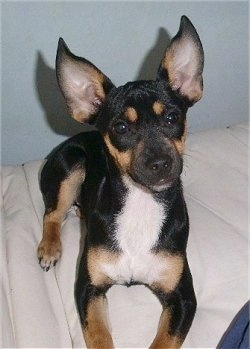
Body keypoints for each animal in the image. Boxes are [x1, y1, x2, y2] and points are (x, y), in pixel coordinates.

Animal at [38, 14, 204, 346]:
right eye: (121, 127)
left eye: (172, 118)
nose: (160, 164)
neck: (141, 203)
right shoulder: (88, 288)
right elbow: (99, 336)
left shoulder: (183, 297)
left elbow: (164, 342)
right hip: (71, 165)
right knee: (52, 213)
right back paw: (50, 247)